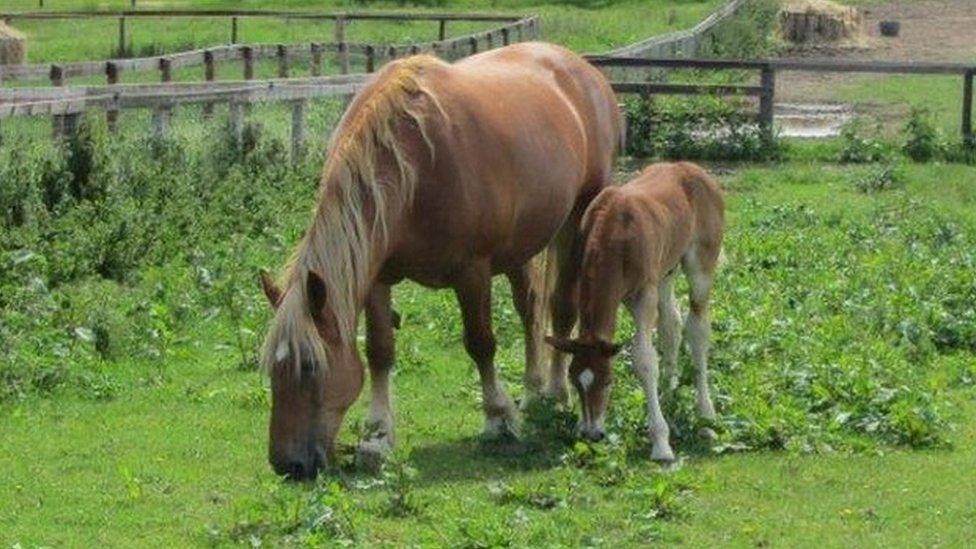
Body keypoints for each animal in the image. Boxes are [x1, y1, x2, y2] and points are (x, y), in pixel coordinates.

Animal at [548, 161, 724, 460]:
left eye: (608, 381)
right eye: (574, 381)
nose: (593, 434)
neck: (614, 231)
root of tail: (695, 169)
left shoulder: (644, 295)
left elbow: (644, 360)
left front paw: (661, 442)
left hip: (700, 265)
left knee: (697, 329)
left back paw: (705, 413)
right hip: (666, 270)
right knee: (671, 324)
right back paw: (668, 392)